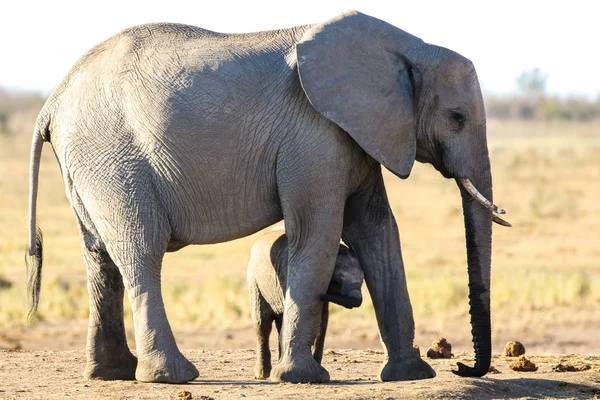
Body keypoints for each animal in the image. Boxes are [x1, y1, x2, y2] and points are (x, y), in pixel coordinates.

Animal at [246, 228, 364, 378]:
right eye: (337, 280)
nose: (322, 294)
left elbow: (322, 321)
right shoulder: (287, 274)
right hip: (254, 280)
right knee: (262, 323)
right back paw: (263, 374)